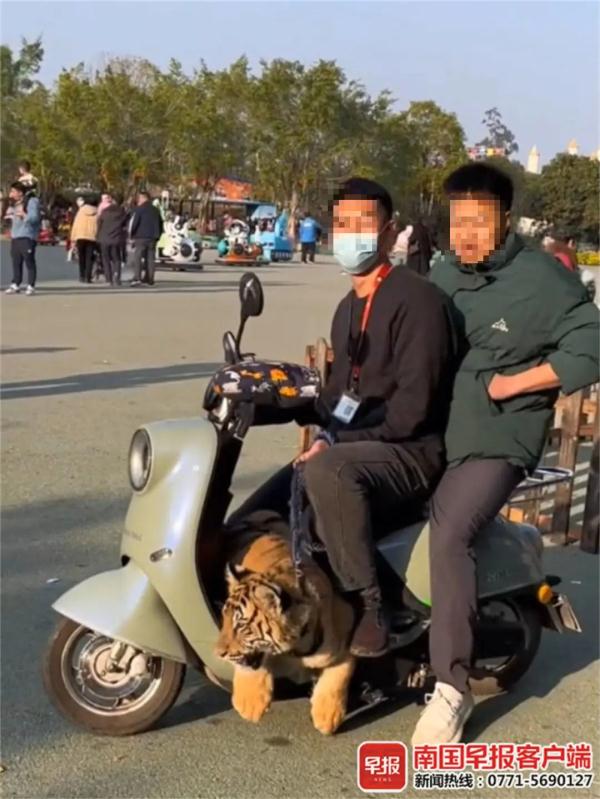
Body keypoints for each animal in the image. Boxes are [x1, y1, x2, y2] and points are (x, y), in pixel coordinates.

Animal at [215, 531, 355, 735]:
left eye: (240, 626)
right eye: (224, 620)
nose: (217, 653)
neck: (296, 646)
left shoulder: (347, 628)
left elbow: (339, 674)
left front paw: (327, 716)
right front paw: (249, 704)